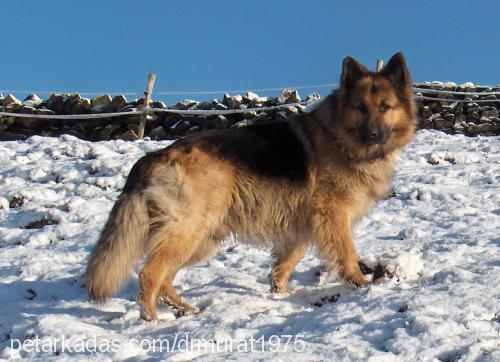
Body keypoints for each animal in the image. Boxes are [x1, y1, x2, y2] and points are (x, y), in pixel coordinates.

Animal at [85, 51, 414, 320]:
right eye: (360, 107)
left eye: (385, 107)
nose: (372, 135)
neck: (339, 138)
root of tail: (155, 156)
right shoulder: (333, 217)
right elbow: (346, 254)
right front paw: (361, 284)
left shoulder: (304, 226)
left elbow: (285, 263)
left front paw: (280, 294)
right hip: (188, 231)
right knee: (149, 275)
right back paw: (152, 320)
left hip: (202, 237)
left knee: (165, 277)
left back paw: (184, 310)